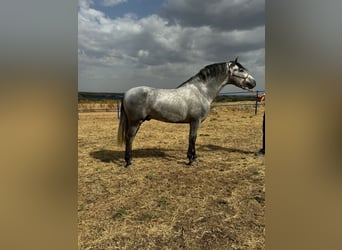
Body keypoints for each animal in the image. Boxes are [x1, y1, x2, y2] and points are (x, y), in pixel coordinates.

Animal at [119, 57, 255, 167]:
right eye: (241, 70)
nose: (253, 83)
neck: (201, 91)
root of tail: (126, 93)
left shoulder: (193, 122)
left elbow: (193, 138)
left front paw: (194, 157)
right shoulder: (195, 121)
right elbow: (192, 138)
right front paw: (191, 160)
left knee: (130, 138)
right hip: (135, 122)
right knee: (129, 138)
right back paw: (128, 161)